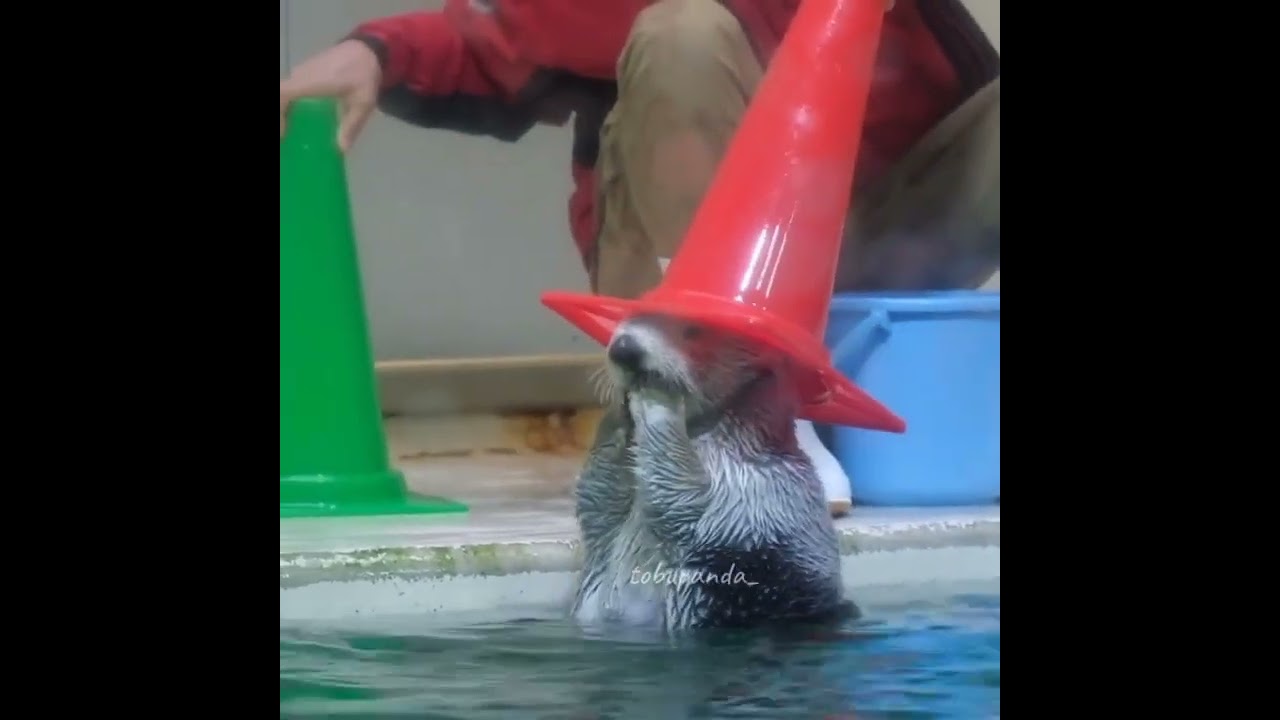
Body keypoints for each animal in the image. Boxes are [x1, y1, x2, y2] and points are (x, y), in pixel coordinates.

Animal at [572, 312, 850, 632]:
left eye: (693, 331)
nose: (624, 348)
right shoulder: (602, 519)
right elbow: (597, 497)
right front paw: (618, 412)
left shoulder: (749, 490)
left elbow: (682, 492)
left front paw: (656, 397)